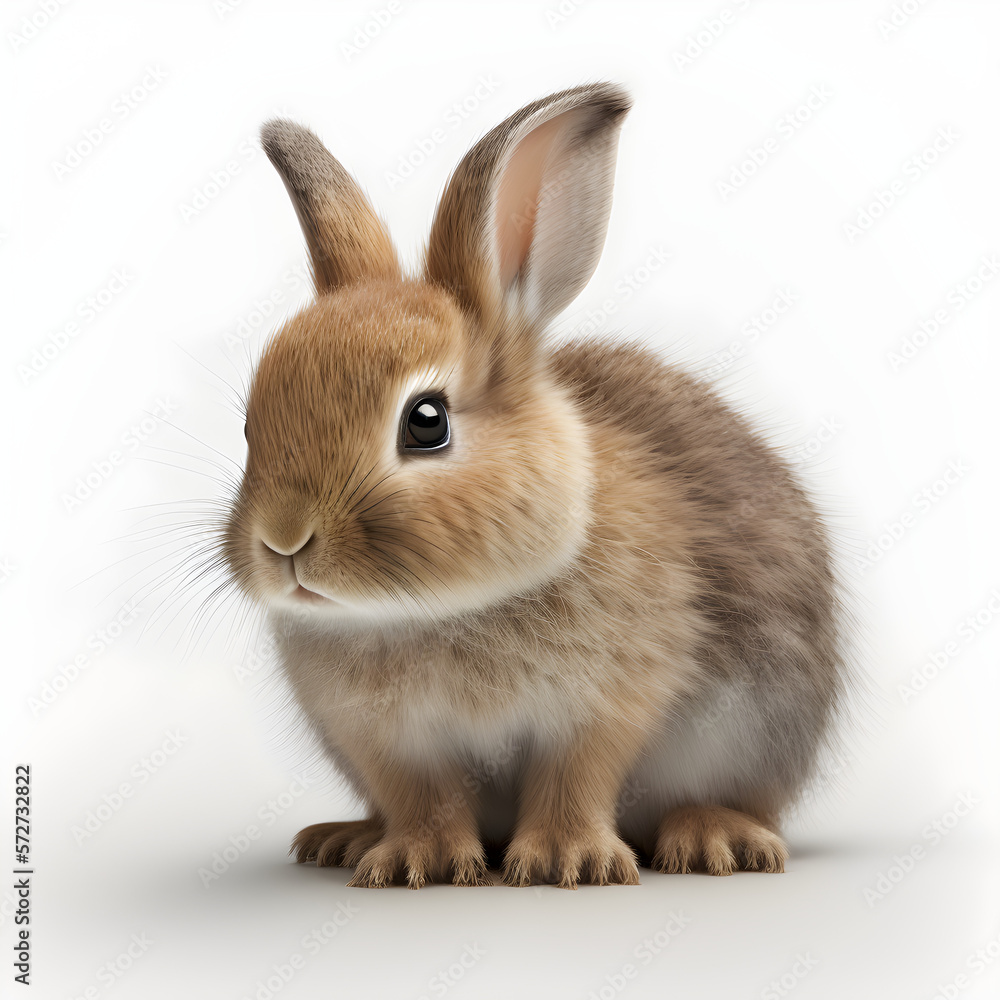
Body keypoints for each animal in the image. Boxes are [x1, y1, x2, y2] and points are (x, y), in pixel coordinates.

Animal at [221, 82, 847, 889]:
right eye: (248, 426)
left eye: (426, 422)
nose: (284, 541)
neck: (440, 609)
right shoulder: (387, 740)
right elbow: (422, 796)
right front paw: (417, 861)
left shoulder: (602, 706)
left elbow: (574, 777)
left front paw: (565, 862)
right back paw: (345, 839)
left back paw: (715, 839)